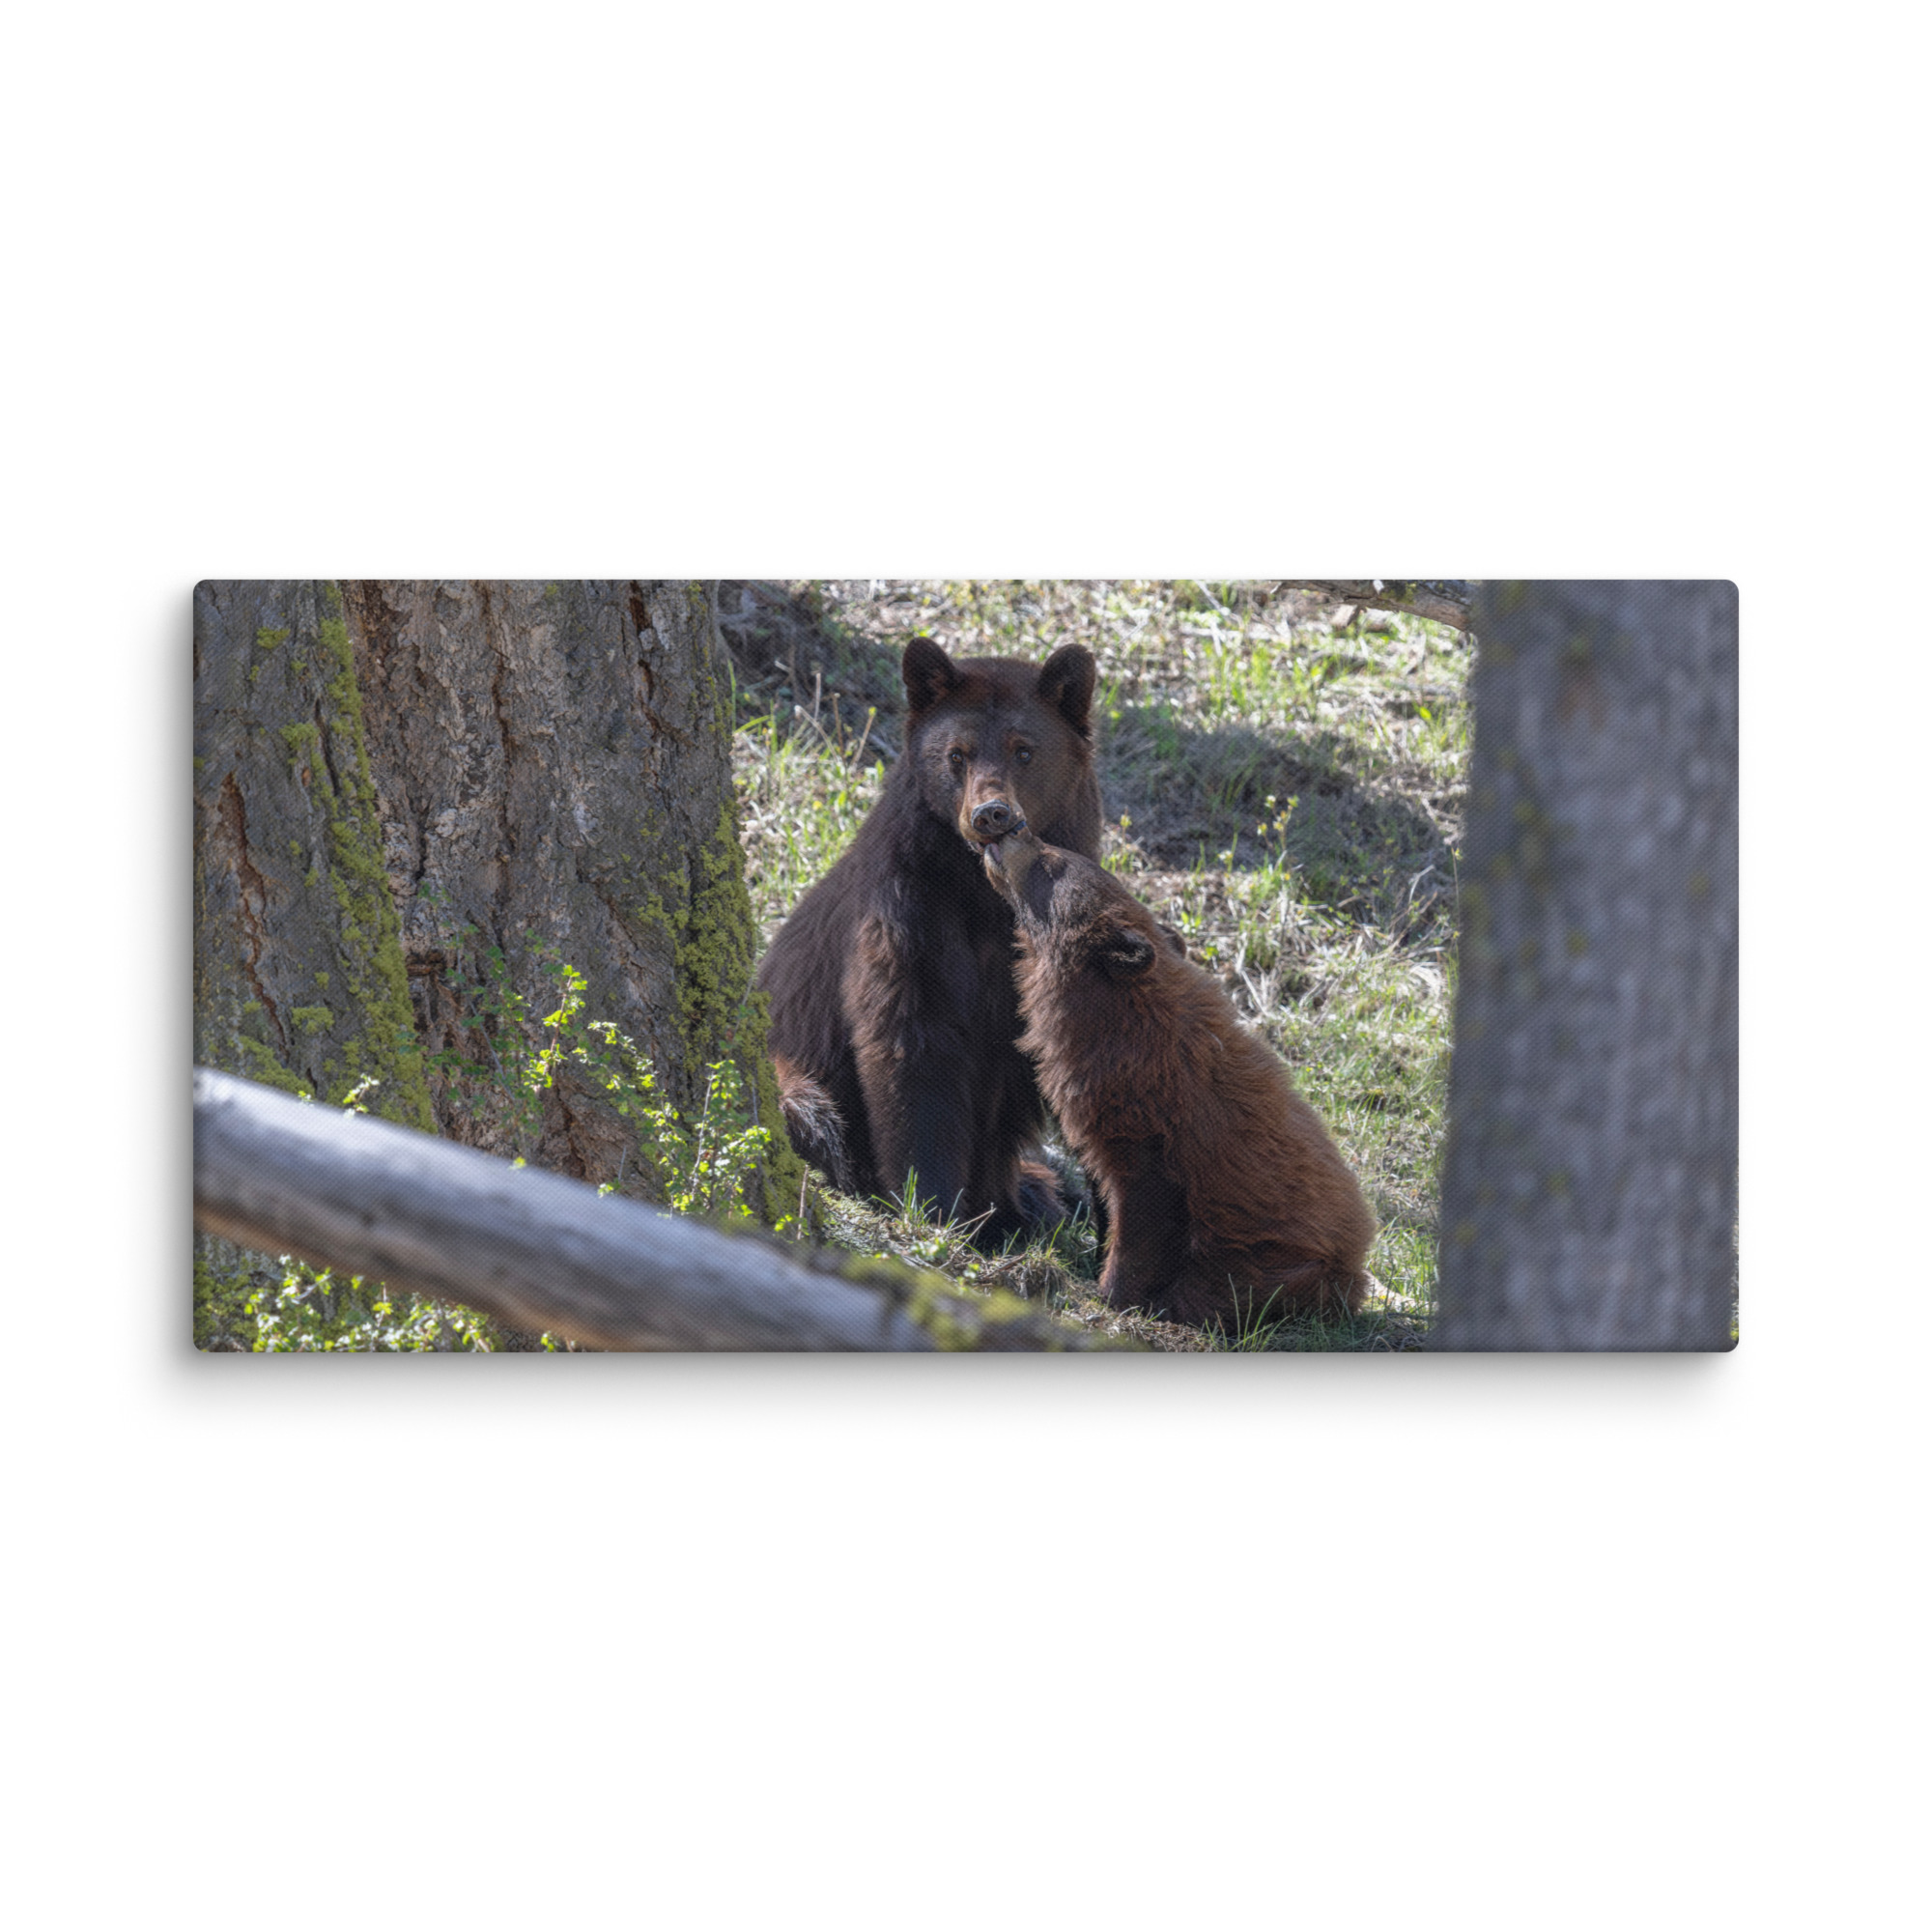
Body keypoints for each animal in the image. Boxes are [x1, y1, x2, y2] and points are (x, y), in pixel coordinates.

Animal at [757, 634, 1103, 1241]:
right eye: (956, 754)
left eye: (1024, 750)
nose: (991, 814)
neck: (984, 895)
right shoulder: (907, 912)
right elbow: (912, 1045)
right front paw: (934, 1204)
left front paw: (1004, 1207)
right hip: (791, 1071)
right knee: (811, 1112)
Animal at [978, 821, 1376, 1329]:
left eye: (1052, 862)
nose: (1016, 828)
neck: (1116, 1020)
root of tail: (1356, 1268)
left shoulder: (1152, 1123)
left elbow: (1144, 1211)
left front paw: (1112, 1291)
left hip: (1278, 1265)